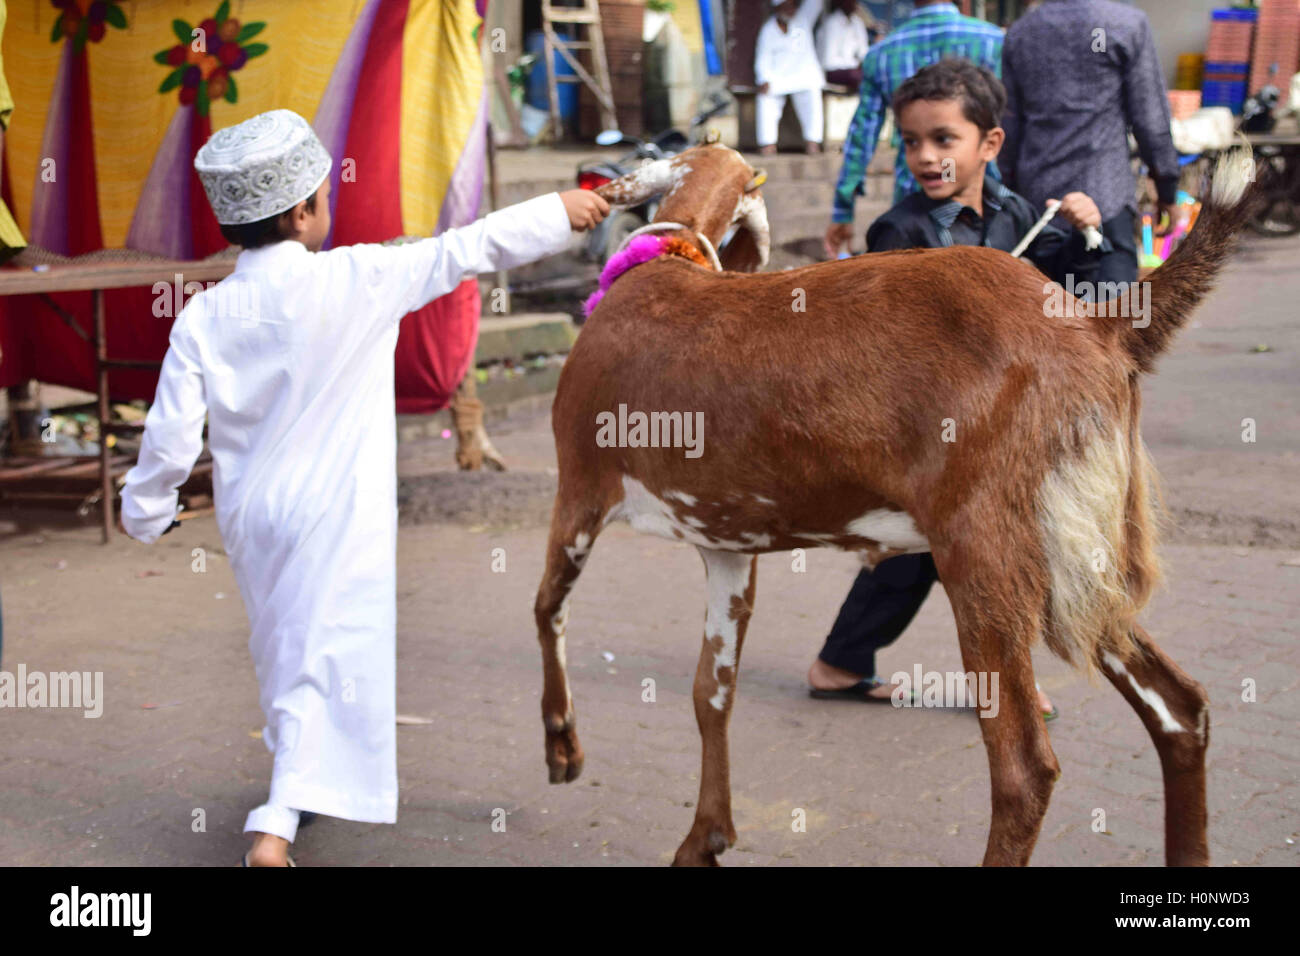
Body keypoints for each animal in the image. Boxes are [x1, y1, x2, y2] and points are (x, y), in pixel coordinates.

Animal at [530, 141, 1258, 868]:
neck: (663, 266)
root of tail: (1097, 325)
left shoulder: (580, 486)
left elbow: (546, 608)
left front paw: (563, 747)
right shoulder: (728, 546)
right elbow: (711, 692)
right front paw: (704, 838)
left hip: (986, 546)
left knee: (1024, 767)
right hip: (1075, 550)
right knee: (1180, 707)